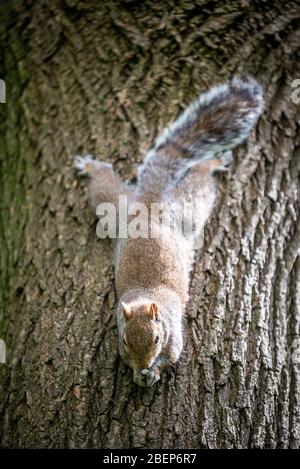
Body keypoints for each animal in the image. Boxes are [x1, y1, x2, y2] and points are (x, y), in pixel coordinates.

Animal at [73, 76, 262, 384]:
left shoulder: (174, 338)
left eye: (157, 338)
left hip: (187, 208)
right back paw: (89, 166)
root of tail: (149, 204)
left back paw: (212, 164)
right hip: (113, 207)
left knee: (200, 184)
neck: (145, 296)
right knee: (103, 183)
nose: (144, 364)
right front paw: (138, 373)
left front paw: (153, 372)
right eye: (125, 341)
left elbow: (171, 357)